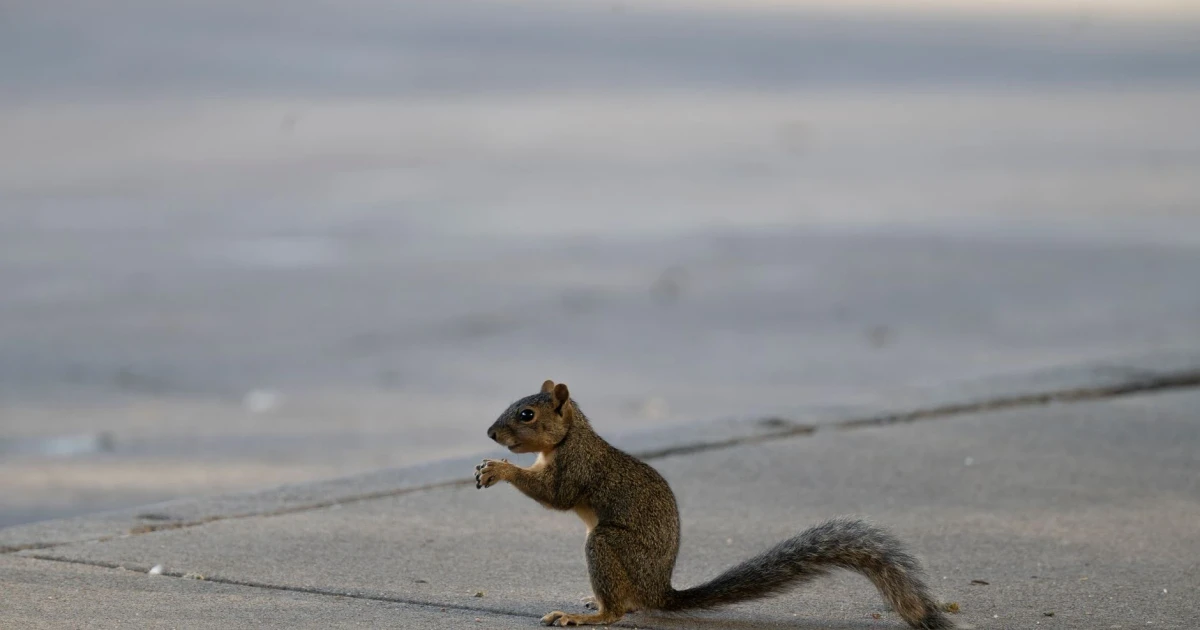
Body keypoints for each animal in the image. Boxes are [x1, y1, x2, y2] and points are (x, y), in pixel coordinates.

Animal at [475, 380, 954, 629]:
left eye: (527, 415)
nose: (490, 433)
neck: (569, 438)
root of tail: (659, 590)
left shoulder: (577, 468)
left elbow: (555, 497)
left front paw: (498, 469)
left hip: (608, 545)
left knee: (619, 609)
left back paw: (588, 615)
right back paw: (592, 603)